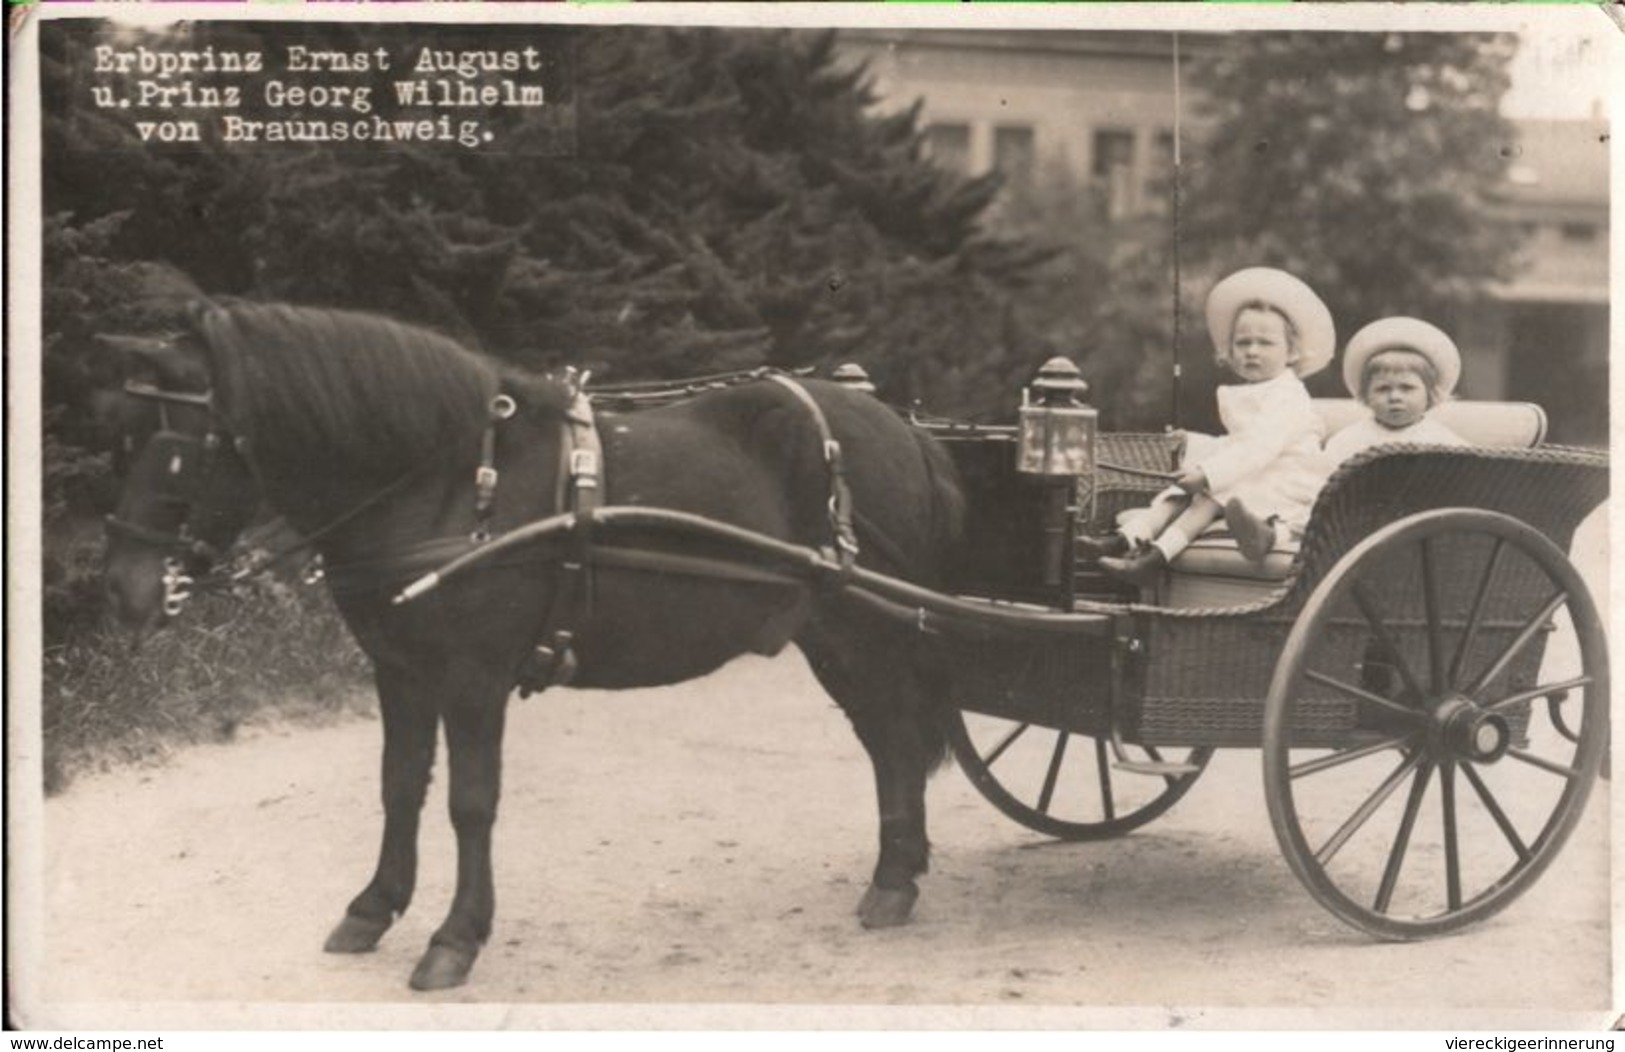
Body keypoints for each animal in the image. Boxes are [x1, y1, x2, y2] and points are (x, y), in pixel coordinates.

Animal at [104, 300, 962, 995]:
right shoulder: (399, 672)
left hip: (869, 631)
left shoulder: (473, 679)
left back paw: (895, 881)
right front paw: (374, 906)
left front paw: (454, 939)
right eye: (121, 438)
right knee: (887, 742)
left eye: (178, 445)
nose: (127, 590)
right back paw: (898, 870)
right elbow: (400, 785)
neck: (456, 485)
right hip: (834, 638)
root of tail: (898, 426)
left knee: (895, 737)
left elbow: (469, 802)